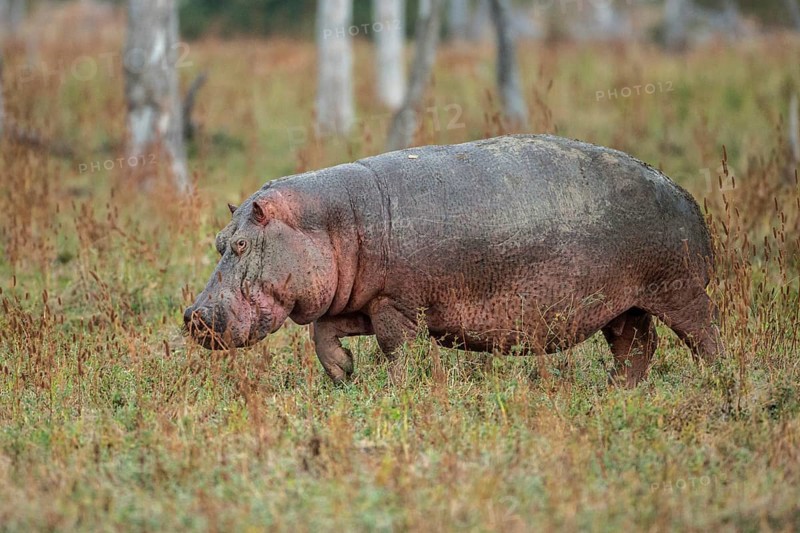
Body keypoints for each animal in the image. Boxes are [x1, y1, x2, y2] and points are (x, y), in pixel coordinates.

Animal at [184, 134, 723, 386]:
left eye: (241, 245)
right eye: (219, 240)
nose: (192, 316)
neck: (334, 221)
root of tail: (684, 193)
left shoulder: (395, 304)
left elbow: (396, 350)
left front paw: (393, 390)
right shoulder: (360, 301)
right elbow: (323, 333)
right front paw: (344, 374)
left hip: (679, 289)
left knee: (703, 336)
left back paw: (714, 382)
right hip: (623, 304)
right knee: (636, 348)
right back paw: (613, 392)